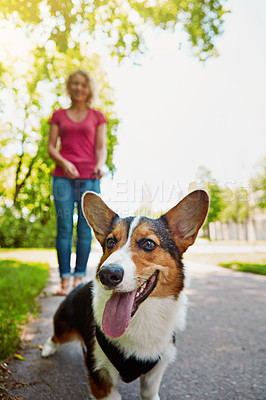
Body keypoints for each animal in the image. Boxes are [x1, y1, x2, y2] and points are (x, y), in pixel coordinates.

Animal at [42, 189, 208, 398]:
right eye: (110, 241)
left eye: (149, 244)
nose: (106, 274)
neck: (142, 318)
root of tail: (75, 288)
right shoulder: (100, 378)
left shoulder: (154, 375)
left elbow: (150, 393)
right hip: (65, 328)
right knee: (55, 336)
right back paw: (47, 349)